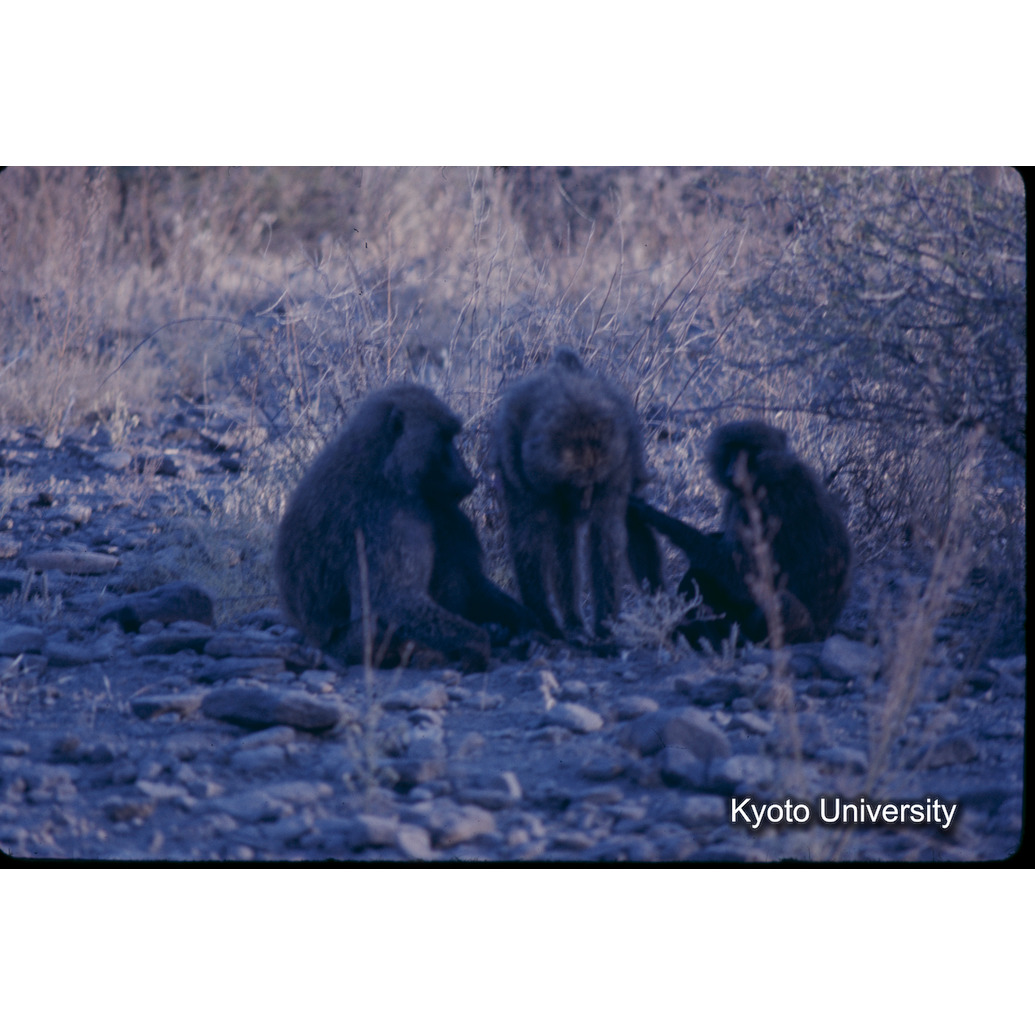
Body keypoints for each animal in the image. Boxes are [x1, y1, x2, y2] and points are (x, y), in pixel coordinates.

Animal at [274, 384, 538, 672]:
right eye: (444, 438)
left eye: (452, 437)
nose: (467, 473)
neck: (383, 465)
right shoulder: (387, 516)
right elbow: (392, 601)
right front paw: (478, 645)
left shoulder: (433, 503)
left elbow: (472, 582)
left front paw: (525, 625)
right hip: (348, 646)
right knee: (377, 625)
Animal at [490, 348, 661, 643]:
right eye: (578, 484)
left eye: (595, 482)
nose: (586, 501)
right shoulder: (522, 472)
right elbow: (530, 540)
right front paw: (547, 623)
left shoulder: (617, 467)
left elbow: (605, 535)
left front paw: (604, 626)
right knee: (564, 538)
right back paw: (572, 621)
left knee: (628, 520)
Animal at [630, 420, 851, 649]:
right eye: (733, 449)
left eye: (748, 450)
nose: (735, 470)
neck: (771, 474)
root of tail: (825, 631)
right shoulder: (736, 499)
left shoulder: (765, 506)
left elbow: (741, 570)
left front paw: (651, 514)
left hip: (804, 630)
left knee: (780, 602)